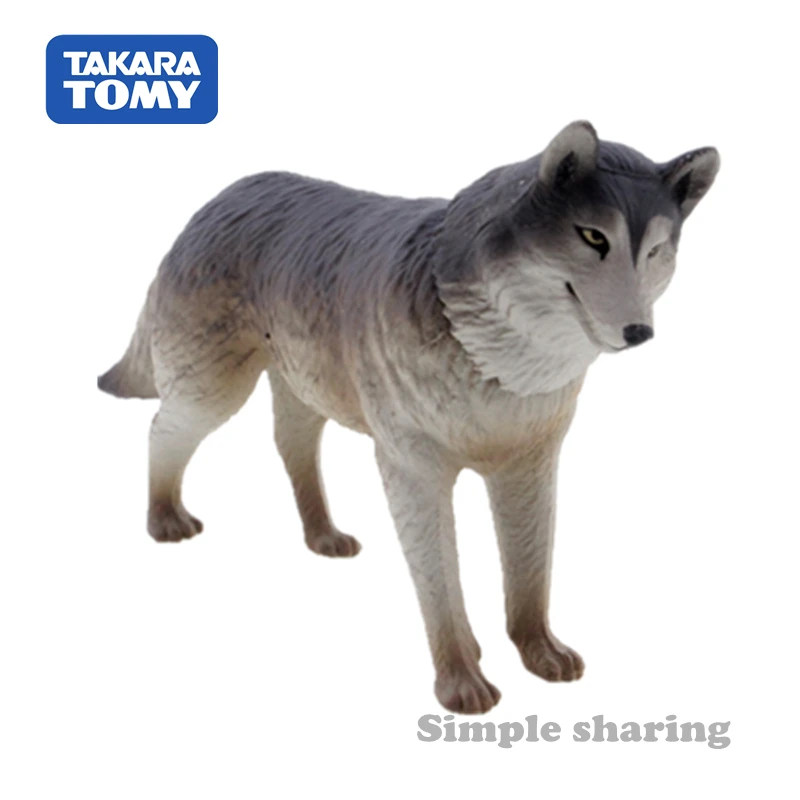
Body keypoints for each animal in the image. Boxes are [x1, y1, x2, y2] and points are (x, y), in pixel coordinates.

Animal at [98, 121, 719, 714]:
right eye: (594, 237)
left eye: (656, 251)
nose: (639, 333)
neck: (502, 362)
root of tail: (225, 194)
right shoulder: (413, 469)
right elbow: (441, 587)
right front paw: (463, 680)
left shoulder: (530, 464)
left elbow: (530, 576)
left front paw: (541, 653)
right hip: (212, 391)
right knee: (161, 430)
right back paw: (164, 520)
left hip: (305, 390)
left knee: (292, 445)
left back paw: (323, 535)